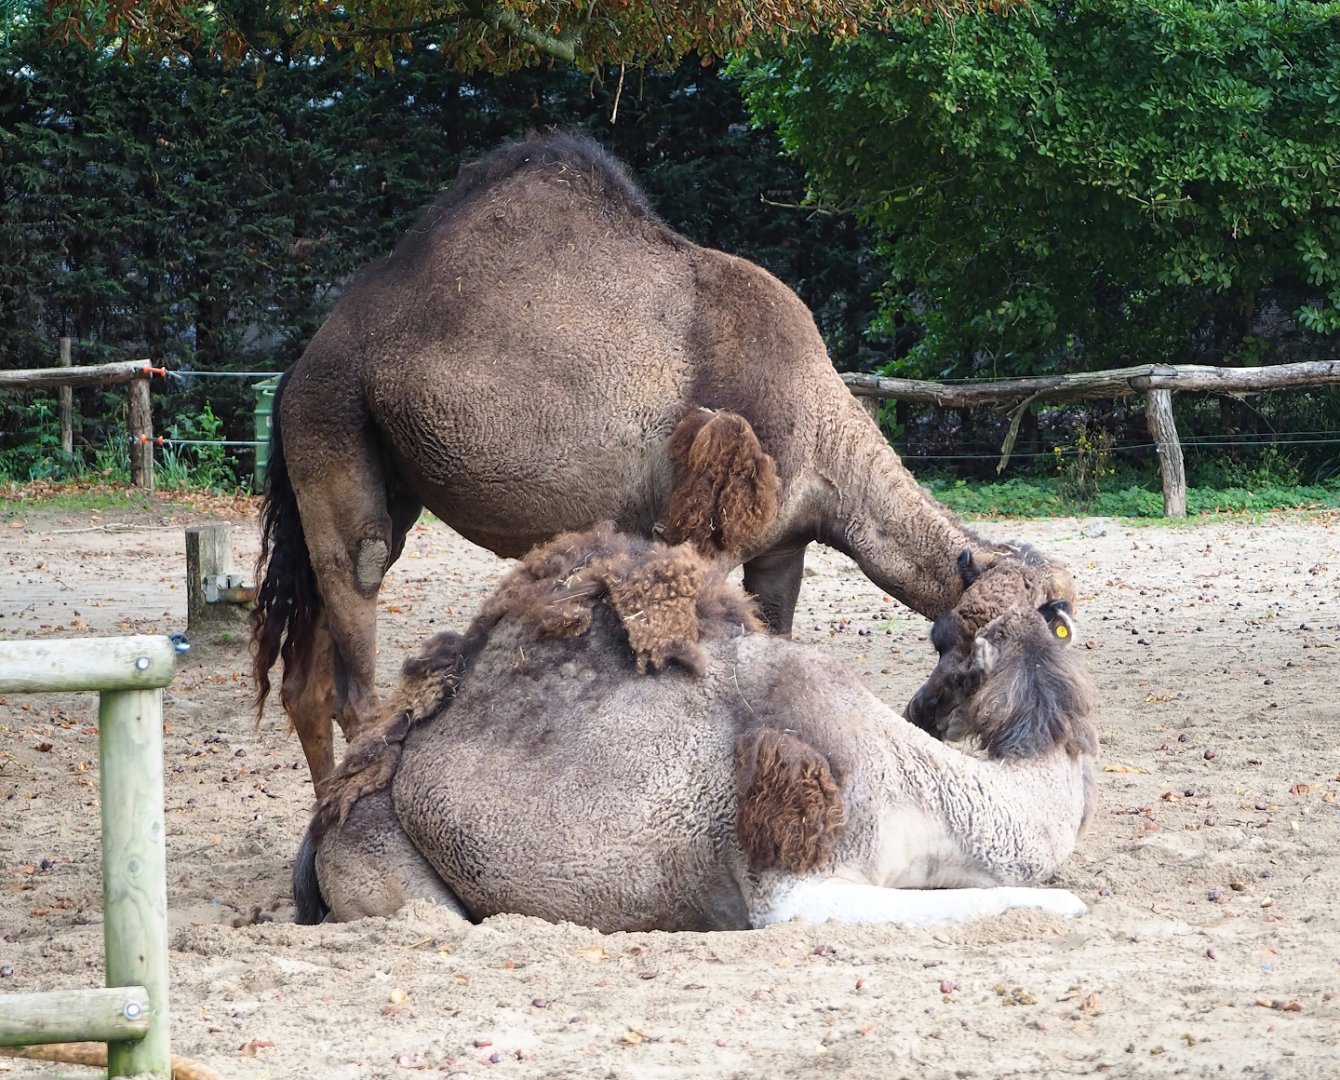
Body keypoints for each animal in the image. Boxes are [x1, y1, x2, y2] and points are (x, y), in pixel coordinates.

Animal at [252, 130, 1075, 789]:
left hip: (376, 465)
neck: (824, 438)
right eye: (959, 645)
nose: (930, 715)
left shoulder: (782, 545)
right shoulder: (701, 525)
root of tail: (302, 364)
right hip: (332, 418)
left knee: (312, 661)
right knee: (356, 611)